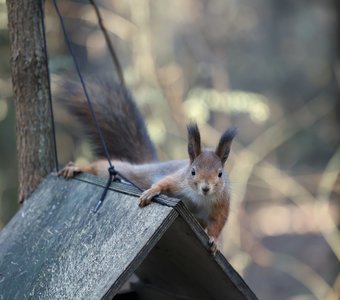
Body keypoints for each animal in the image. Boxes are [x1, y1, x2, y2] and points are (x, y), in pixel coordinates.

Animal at [57, 78, 236, 254]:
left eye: (220, 174)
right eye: (193, 172)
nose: (206, 188)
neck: (200, 198)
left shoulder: (221, 203)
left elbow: (218, 223)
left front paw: (214, 241)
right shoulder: (178, 181)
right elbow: (164, 183)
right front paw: (151, 192)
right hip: (129, 172)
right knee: (101, 167)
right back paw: (77, 168)